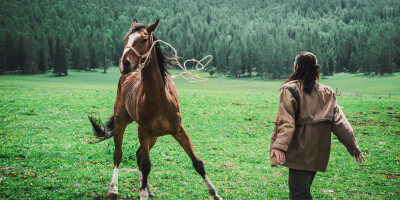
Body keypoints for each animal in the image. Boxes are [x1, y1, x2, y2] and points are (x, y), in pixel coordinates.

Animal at [88, 19, 223, 200]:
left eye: (144, 39)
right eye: (126, 39)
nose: (124, 63)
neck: (159, 98)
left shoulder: (179, 131)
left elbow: (198, 163)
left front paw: (215, 194)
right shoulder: (143, 132)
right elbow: (146, 165)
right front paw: (142, 193)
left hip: (154, 136)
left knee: (138, 154)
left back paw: (148, 188)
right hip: (121, 122)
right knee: (118, 154)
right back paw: (114, 189)